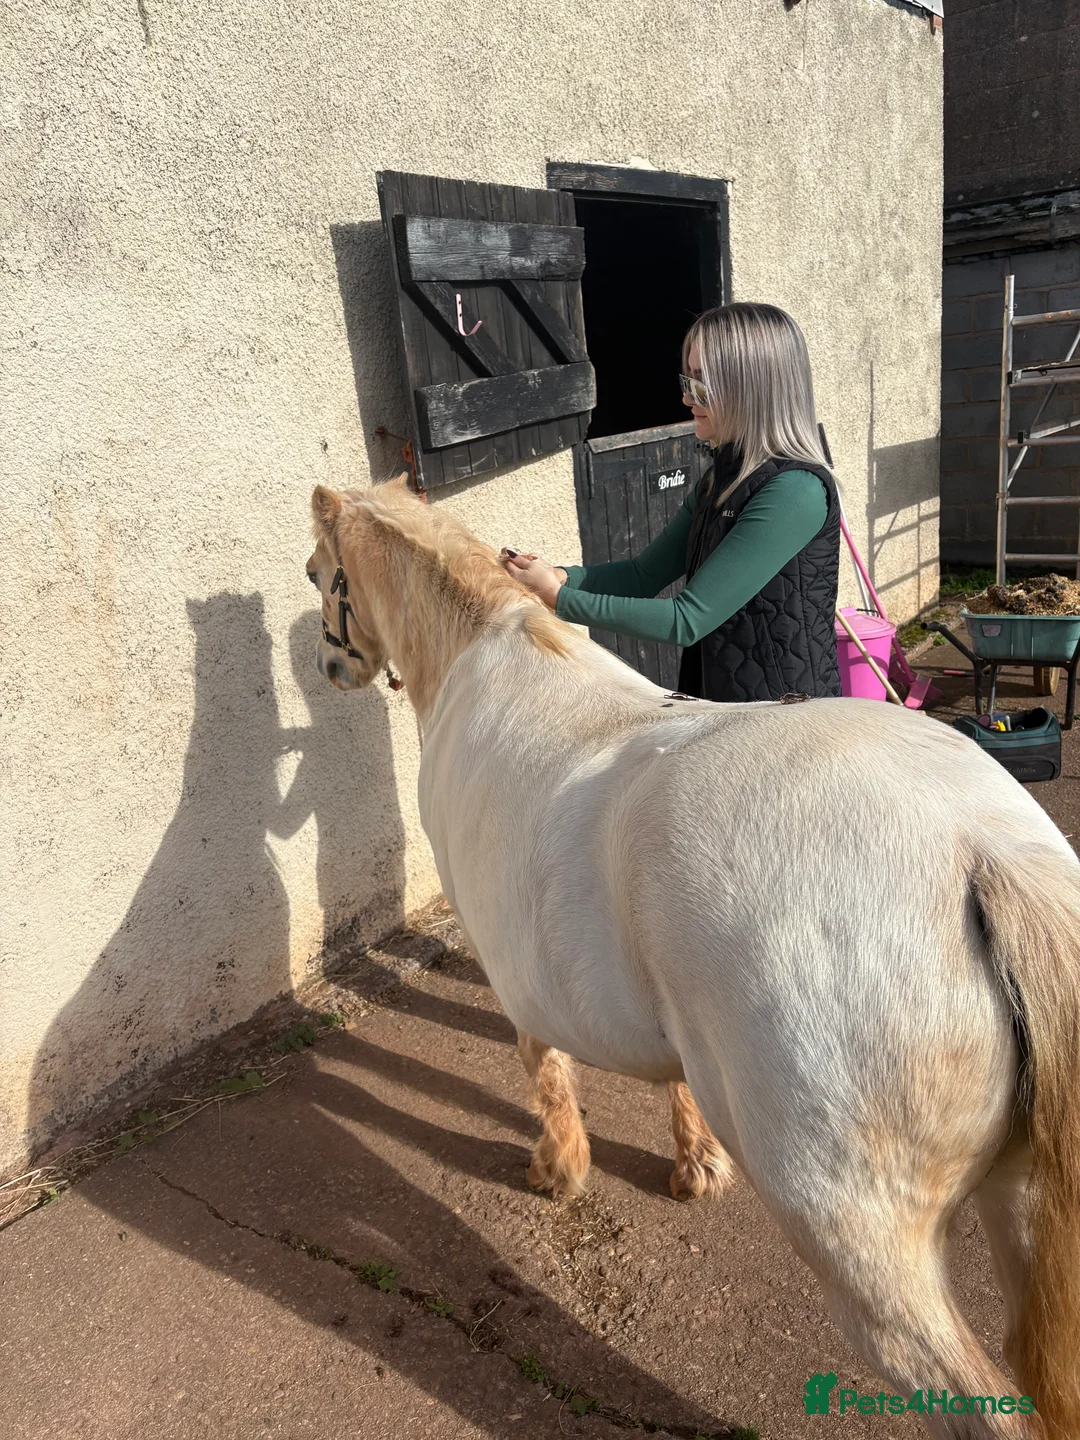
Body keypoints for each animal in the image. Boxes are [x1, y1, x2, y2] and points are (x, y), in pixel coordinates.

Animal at [304, 474, 1080, 1439]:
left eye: (317, 574)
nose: (328, 669)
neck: (489, 662)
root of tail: (980, 856)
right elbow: (670, 1083)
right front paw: (695, 1164)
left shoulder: (513, 969)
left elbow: (542, 1068)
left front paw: (558, 1169)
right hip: (1027, 1210)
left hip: (863, 1246)